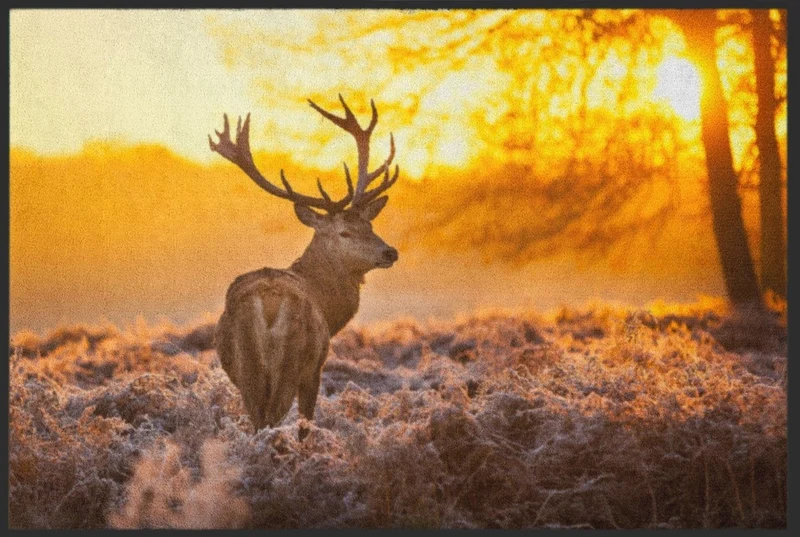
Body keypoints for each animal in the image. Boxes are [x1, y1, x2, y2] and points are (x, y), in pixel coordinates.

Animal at [208, 95, 400, 437]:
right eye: (344, 232)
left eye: (369, 224)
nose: (390, 252)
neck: (328, 307)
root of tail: (268, 303)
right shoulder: (315, 369)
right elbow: (307, 421)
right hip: (293, 361)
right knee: (272, 420)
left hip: (246, 371)